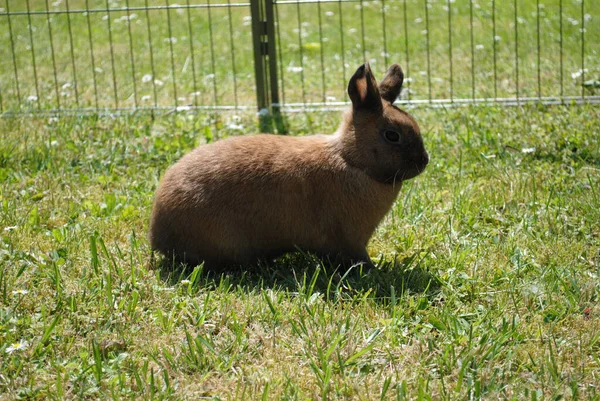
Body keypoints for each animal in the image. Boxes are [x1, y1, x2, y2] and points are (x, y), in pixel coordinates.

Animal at [152, 63, 428, 268]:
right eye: (392, 135)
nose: (424, 162)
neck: (351, 160)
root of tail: (157, 233)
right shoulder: (349, 239)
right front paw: (371, 268)